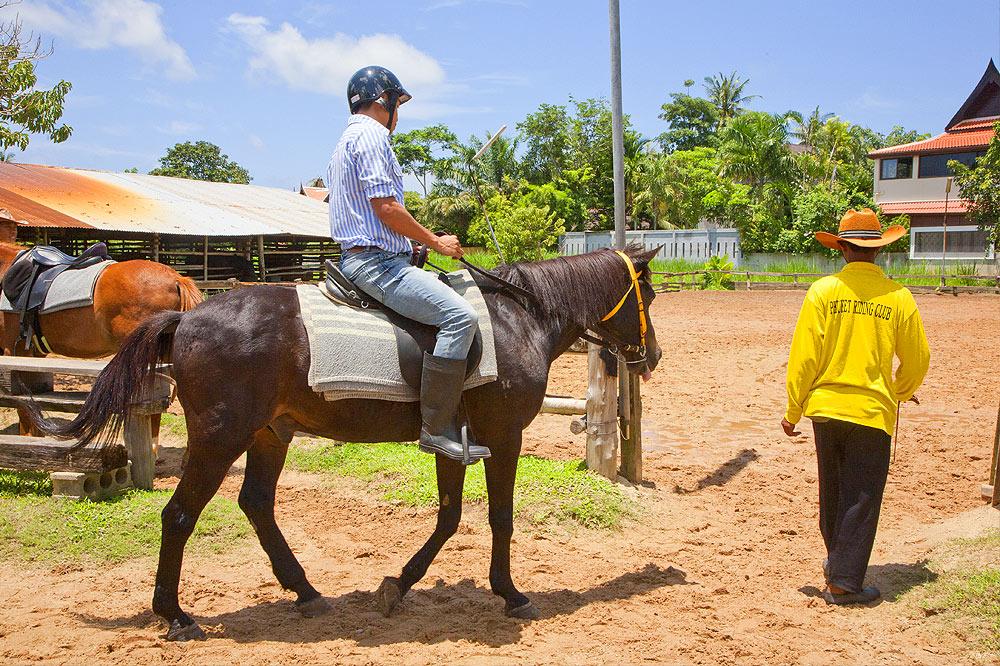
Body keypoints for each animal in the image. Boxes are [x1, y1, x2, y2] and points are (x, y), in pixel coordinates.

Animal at [27, 244, 660, 640]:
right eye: (648, 298)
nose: (652, 357)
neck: (517, 321)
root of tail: (187, 319)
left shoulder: (455, 440)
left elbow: (449, 516)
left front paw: (397, 585)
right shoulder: (503, 437)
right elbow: (499, 518)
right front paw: (511, 594)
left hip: (268, 433)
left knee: (255, 503)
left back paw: (305, 591)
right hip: (219, 436)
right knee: (179, 514)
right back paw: (176, 616)